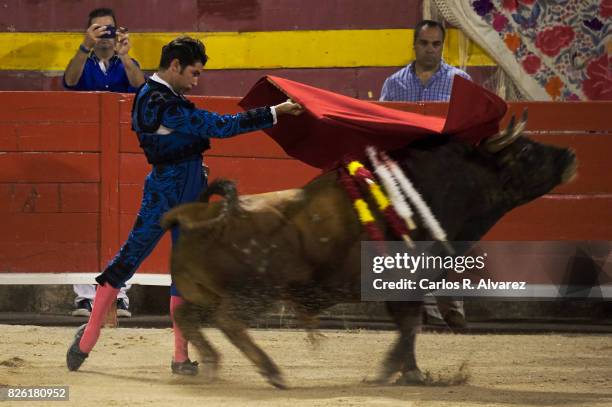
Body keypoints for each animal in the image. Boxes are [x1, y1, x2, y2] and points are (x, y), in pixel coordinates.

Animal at [160, 114, 576, 388]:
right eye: (526, 151)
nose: (570, 154)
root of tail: (199, 215)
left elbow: (408, 326)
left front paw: (409, 372)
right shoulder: (408, 281)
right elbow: (409, 326)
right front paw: (400, 372)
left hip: (208, 292)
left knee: (186, 315)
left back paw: (212, 362)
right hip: (255, 291)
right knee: (228, 320)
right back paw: (271, 372)